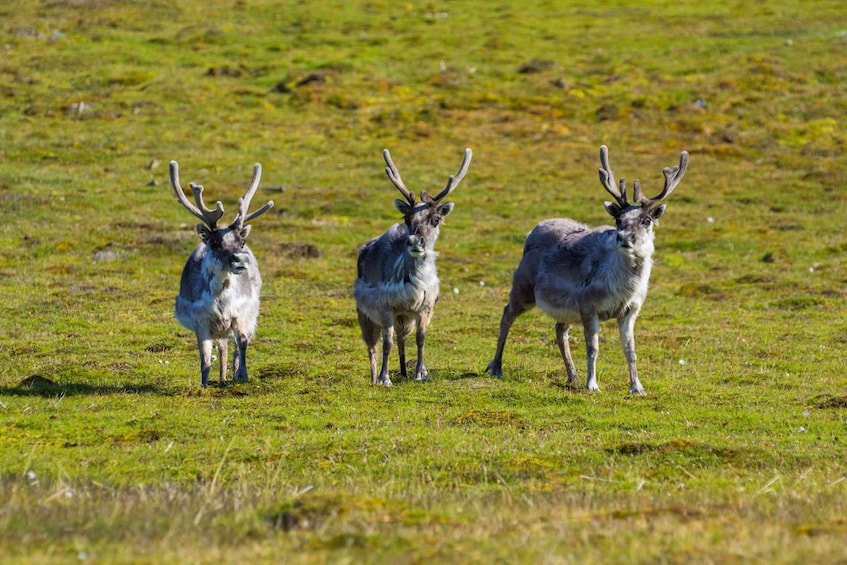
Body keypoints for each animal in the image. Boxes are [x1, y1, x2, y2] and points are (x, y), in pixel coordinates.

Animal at [168, 161, 274, 387]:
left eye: (241, 242)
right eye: (215, 242)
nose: (241, 259)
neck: (222, 301)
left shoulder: (240, 314)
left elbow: (242, 343)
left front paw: (243, 375)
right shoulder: (201, 322)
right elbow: (205, 359)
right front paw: (204, 384)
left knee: (231, 346)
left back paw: (232, 375)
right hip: (218, 328)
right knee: (222, 347)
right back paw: (222, 378)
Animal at [354, 148, 472, 386]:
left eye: (436, 219)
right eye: (407, 218)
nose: (416, 241)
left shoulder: (425, 306)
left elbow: (420, 338)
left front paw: (419, 373)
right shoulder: (386, 306)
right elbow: (386, 343)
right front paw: (384, 378)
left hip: (404, 318)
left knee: (402, 338)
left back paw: (404, 372)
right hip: (365, 313)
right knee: (372, 346)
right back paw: (374, 377)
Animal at [486, 145, 689, 395]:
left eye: (646, 219)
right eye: (618, 220)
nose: (624, 237)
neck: (625, 288)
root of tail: (532, 231)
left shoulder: (631, 310)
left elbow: (630, 350)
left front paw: (637, 387)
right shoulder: (588, 305)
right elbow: (593, 347)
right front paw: (592, 384)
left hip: (565, 308)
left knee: (559, 330)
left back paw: (572, 377)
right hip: (522, 287)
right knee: (507, 314)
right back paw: (496, 367)